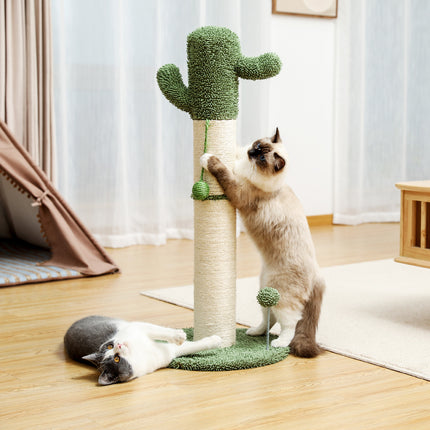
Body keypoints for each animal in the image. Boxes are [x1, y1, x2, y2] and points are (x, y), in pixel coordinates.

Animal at [66, 314, 225, 384]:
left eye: (109, 346)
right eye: (116, 359)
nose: (119, 345)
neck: (138, 352)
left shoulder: (137, 328)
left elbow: (158, 331)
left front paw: (178, 335)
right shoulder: (166, 353)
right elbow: (191, 346)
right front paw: (216, 340)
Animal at [202, 127, 326, 356]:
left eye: (261, 158)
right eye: (257, 146)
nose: (251, 152)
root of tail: (318, 275)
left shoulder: (238, 191)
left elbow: (222, 170)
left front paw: (208, 158)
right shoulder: (239, 159)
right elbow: (235, 150)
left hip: (281, 297)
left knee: (290, 323)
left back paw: (278, 343)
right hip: (264, 291)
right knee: (269, 318)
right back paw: (254, 332)